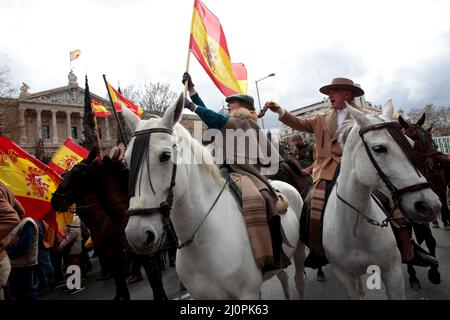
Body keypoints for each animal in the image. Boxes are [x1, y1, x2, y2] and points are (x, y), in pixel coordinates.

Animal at [51, 148, 167, 300]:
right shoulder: (115, 252)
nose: (55, 200)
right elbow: (121, 282)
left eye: (78, 172)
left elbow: (155, 287)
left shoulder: (135, 254)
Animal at [123, 95, 306, 300]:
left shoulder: (248, 294)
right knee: (283, 277)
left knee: (299, 280)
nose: (137, 235)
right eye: (126, 160)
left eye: (165, 156)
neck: (200, 243)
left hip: (299, 247)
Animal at [324, 102, 440, 300]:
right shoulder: (344, 277)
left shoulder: (392, 272)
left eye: (411, 144)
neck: (355, 228)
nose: (430, 205)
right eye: (379, 148)